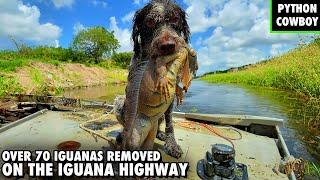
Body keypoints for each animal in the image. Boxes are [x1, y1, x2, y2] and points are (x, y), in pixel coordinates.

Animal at [114, 0, 196, 158]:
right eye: (150, 22)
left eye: (175, 19)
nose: (168, 46)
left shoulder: (170, 97)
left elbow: (170, 122)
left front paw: (171, 144)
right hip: (120, 102)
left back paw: (159, 133)